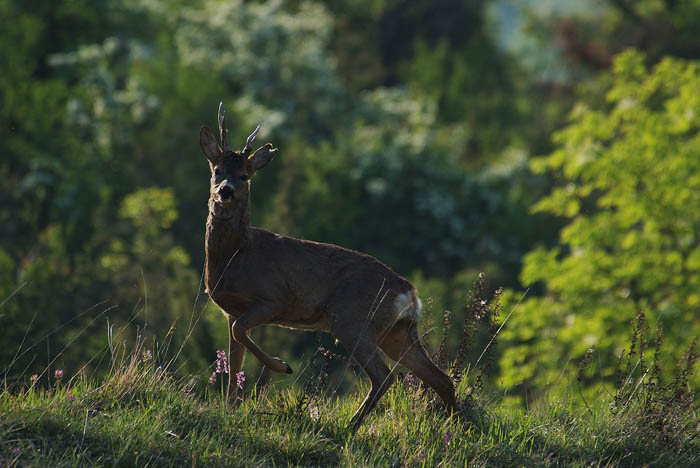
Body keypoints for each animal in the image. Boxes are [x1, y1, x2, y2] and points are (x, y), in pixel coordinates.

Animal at [200, 103, 456, 432]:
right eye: (217, 170)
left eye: (245, 176)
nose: (225, 191)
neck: (238, 256)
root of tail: (410, 295)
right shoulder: (230, 310)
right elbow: (234, 360)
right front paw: (230, 407)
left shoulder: (274, 297)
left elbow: (242, 334)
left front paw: (282, 365)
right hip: (397, 332)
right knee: (440, 378)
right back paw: (457, 427)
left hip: (352, 320)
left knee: (385, 374)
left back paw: (351, 426)